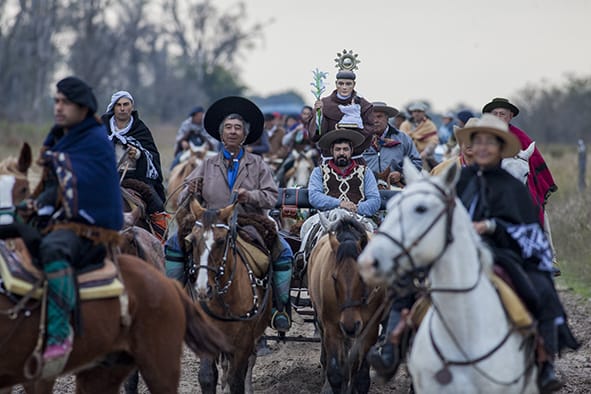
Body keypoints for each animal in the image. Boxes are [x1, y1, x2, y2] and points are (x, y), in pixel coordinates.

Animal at [186, 200, 272, 394]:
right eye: (192, 240)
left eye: (220, 241)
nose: (203, 289)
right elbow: (207, 377)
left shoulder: (243, 344)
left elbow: (236, 380)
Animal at [308, 214, 386, 392]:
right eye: (334, 277)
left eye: (363, 276)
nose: (350, 325)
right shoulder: (332, 327)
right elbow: (335, 374)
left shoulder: (370, 329)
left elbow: (362, 377)